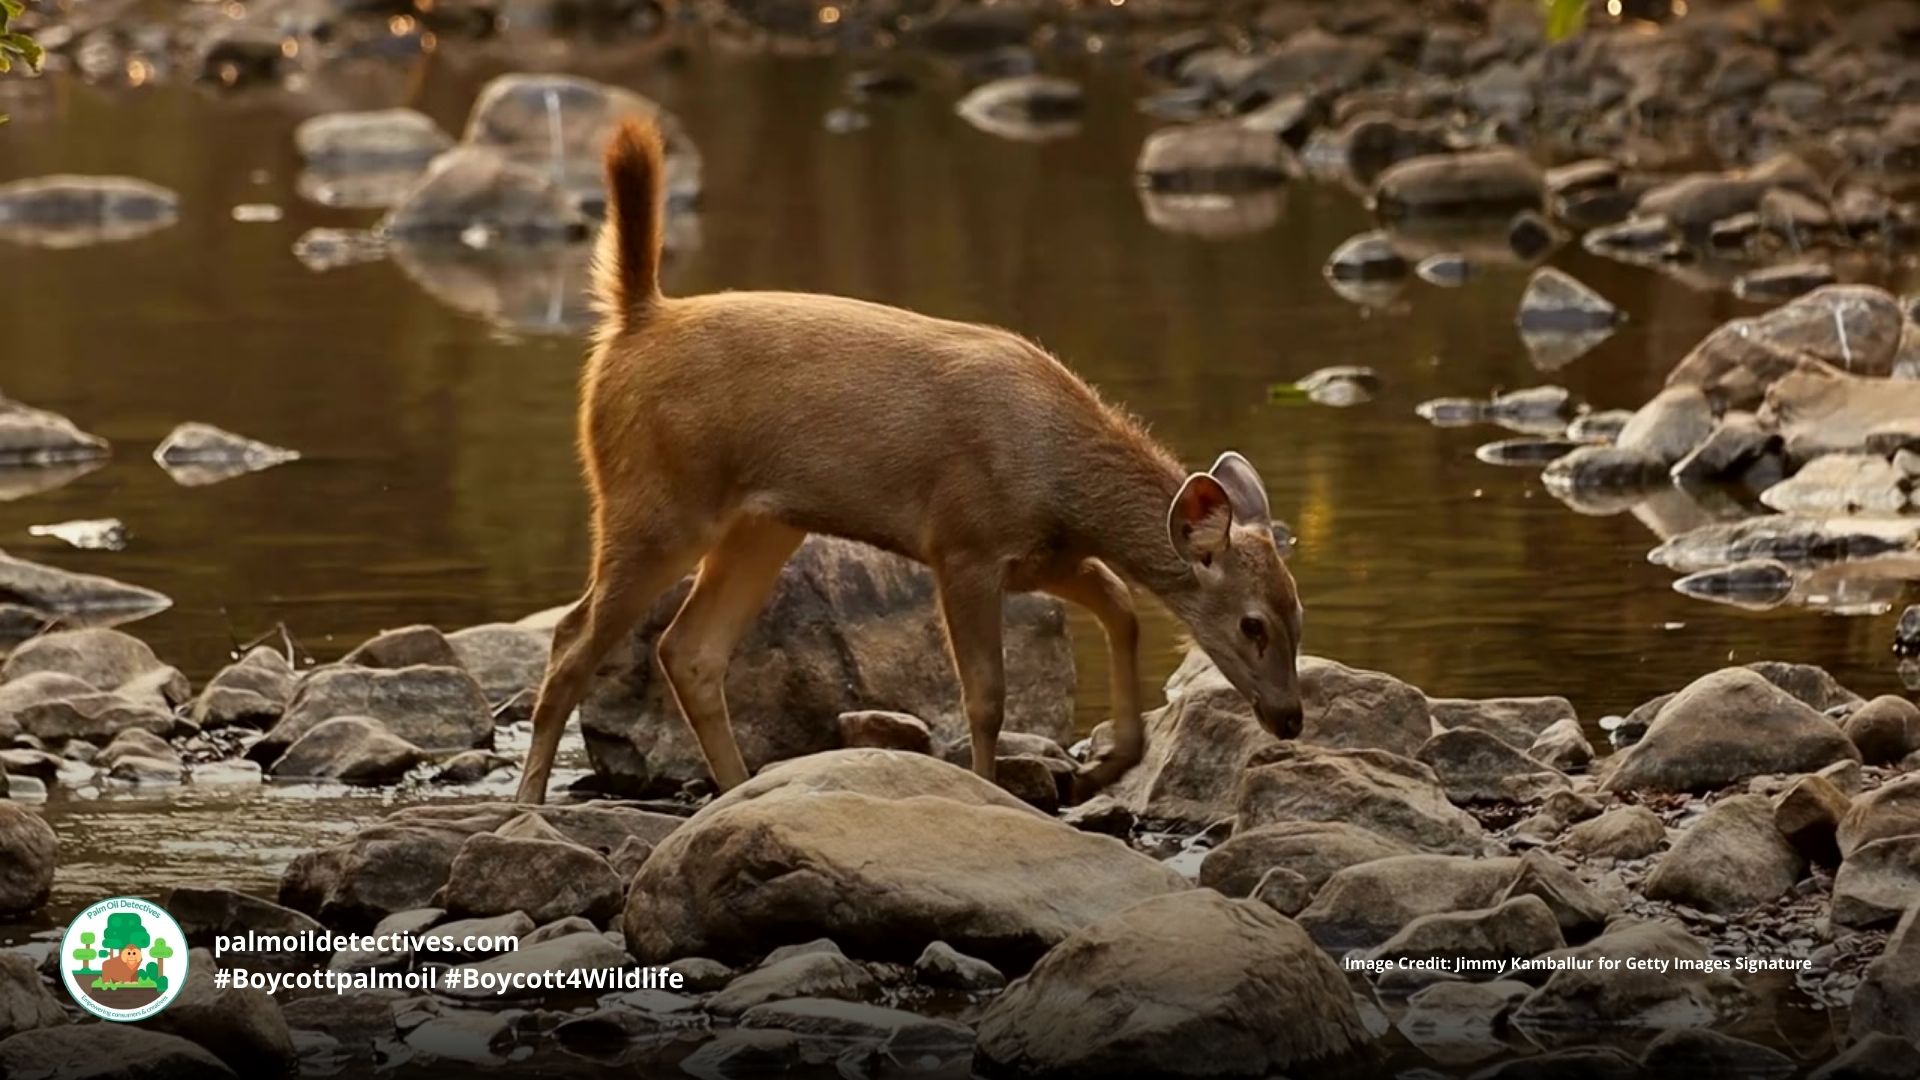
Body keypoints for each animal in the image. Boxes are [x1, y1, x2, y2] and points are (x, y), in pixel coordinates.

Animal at [513, 116, 1305, 806]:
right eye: (1252, 625)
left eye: (1299, 615)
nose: (1291, 718)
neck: (1057, 472)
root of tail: (636, 319)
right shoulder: (963, 541)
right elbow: (986, 696)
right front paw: (992, 789)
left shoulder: (1038, 554)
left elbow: (1119, 601)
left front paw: (1108, 765)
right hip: (656, 498)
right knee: (573, 637)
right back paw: (529, 801)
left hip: (764, 522)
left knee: (690, 650)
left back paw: (738, 790)